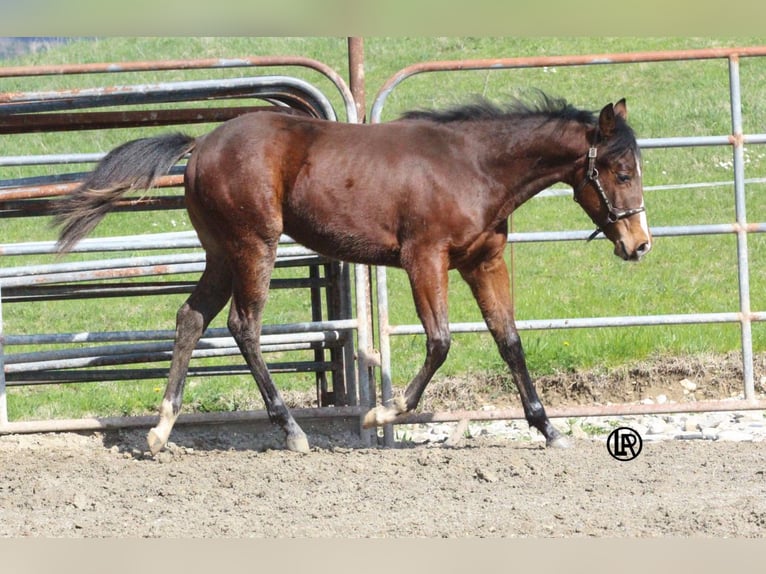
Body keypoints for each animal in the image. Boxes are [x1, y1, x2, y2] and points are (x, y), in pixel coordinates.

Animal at [53, 93, 651, 455]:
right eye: (621, 172)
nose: (639, 244)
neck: (473, 168)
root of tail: (202, 144)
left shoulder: (483, 264)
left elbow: (510, 342)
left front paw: (549, 428)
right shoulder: (423, 259)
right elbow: (439, 341)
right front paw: (381, 414)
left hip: (221, 253)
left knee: (190, 319)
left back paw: (160, 430)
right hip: (253, 246)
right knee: (243, 326)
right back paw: (292, 431)